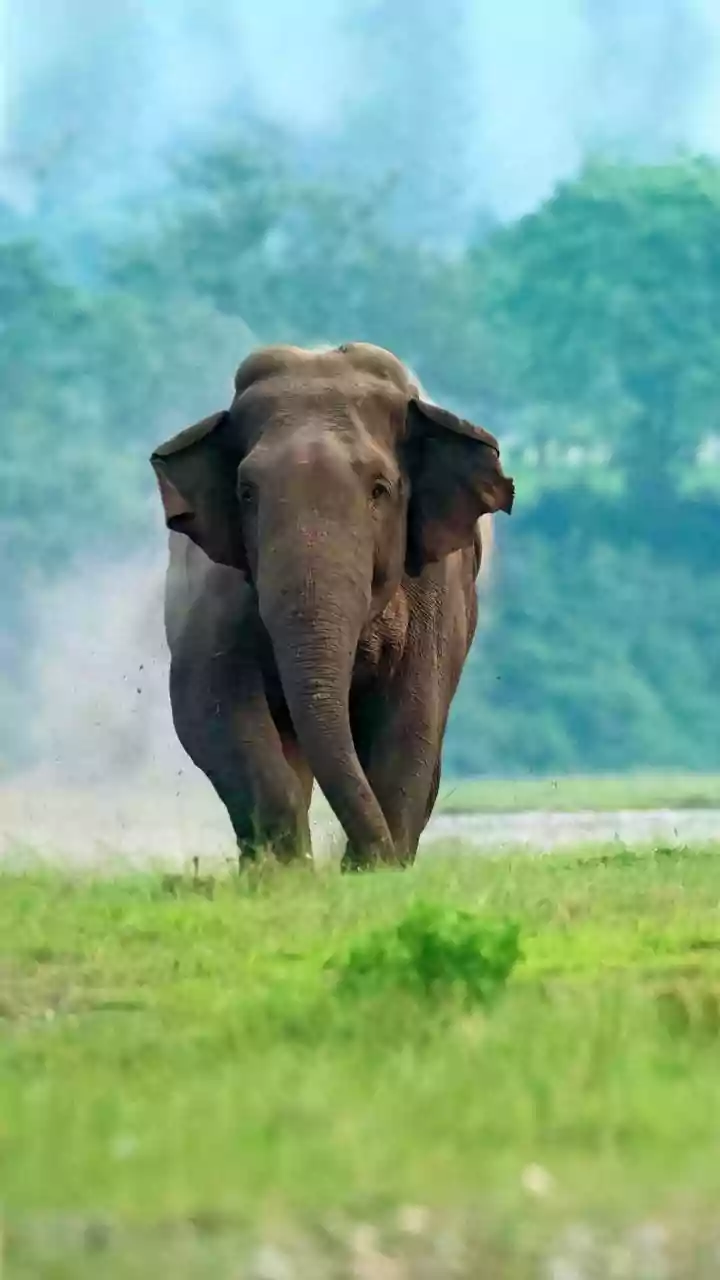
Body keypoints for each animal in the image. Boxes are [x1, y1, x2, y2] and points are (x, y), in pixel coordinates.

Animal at [150, 342, 514, 870]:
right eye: (246, 492)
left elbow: (415, 710)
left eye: (380, 489)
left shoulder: (437, 582)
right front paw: (286, 872)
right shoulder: (215, 580)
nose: (369, 854)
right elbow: (207, 697)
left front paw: (373, 872)